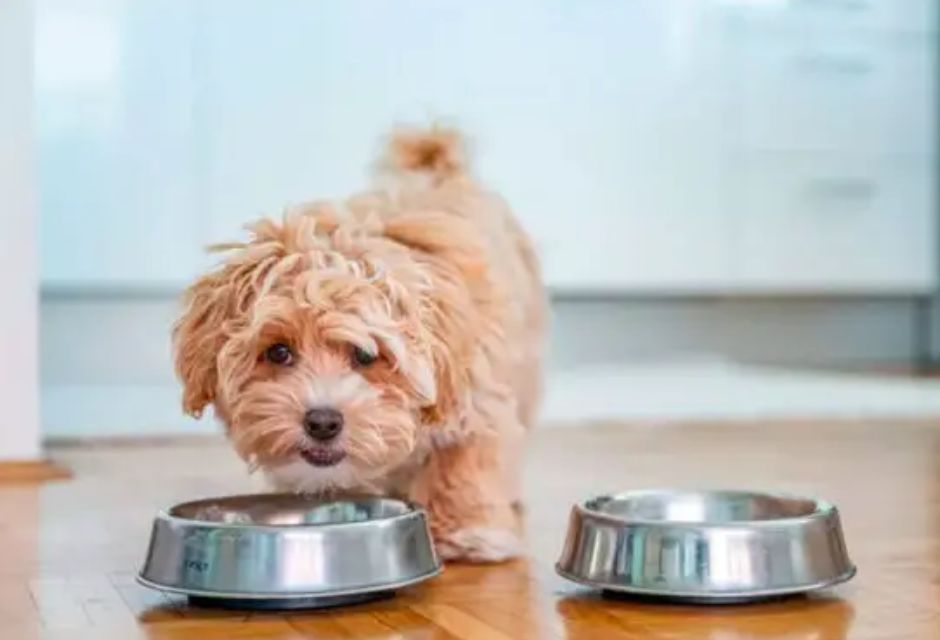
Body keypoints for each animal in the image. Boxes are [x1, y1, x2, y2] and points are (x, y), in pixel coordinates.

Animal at [173, 126, 548, 560]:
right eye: (279, 352)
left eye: (366, 355)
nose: (322, 422)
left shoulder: (476, 397)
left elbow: (463, 460)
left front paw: (463, 530)